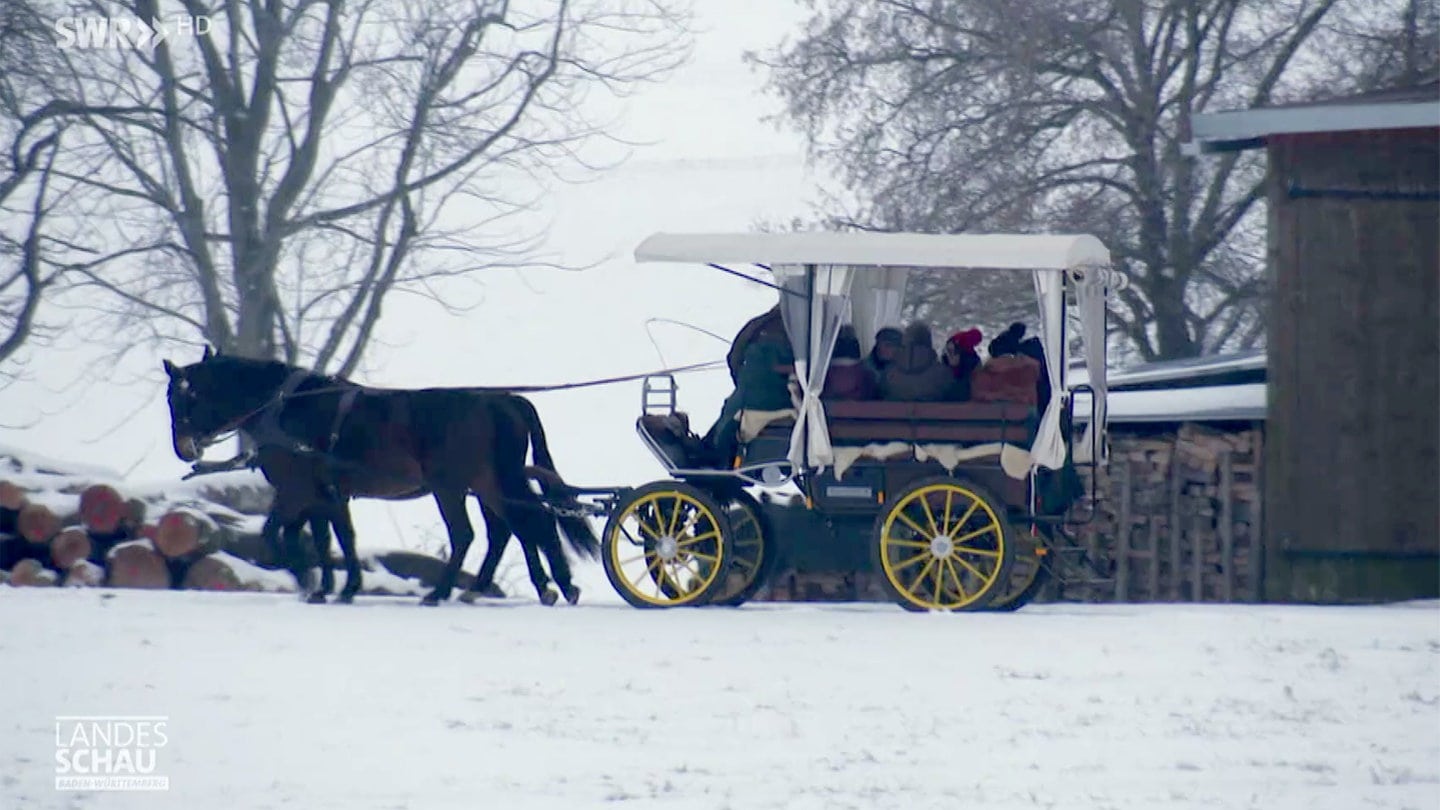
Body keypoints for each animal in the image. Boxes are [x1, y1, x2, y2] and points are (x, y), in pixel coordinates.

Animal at [163, 350, 596, 602]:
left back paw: (442, 592)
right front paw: (335, 585)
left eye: (180, 395)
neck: (286, 407)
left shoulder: (296, 489)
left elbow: (277, 534)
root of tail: (503, 399)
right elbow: (333, 537)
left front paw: (308, 581)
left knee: (474, 534)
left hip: (453, 487)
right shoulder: (326, 493)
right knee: (519, 528)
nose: (183, 448)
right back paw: (539, 586)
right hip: (491, 483)